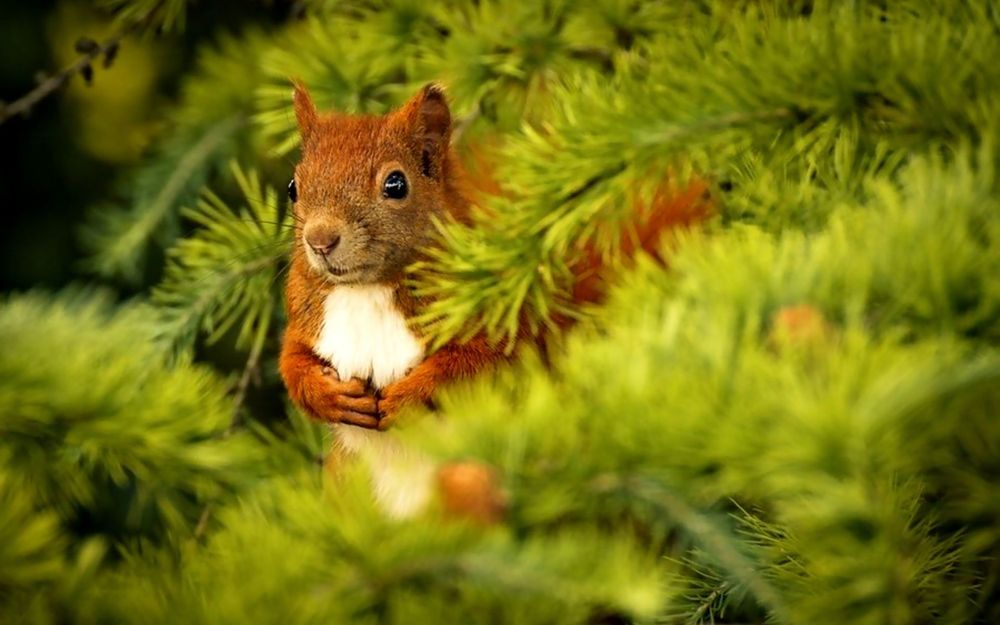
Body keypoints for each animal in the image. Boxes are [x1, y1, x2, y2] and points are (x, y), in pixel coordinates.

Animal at [278, 81, 708, 516]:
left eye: (395, 184)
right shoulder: (305, 322)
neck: (367, 289)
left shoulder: (501, 324)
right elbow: (292, 363)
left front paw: (409, 396)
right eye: (293, 187)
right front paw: (327, 394)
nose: (320, 240)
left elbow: (480, 365)